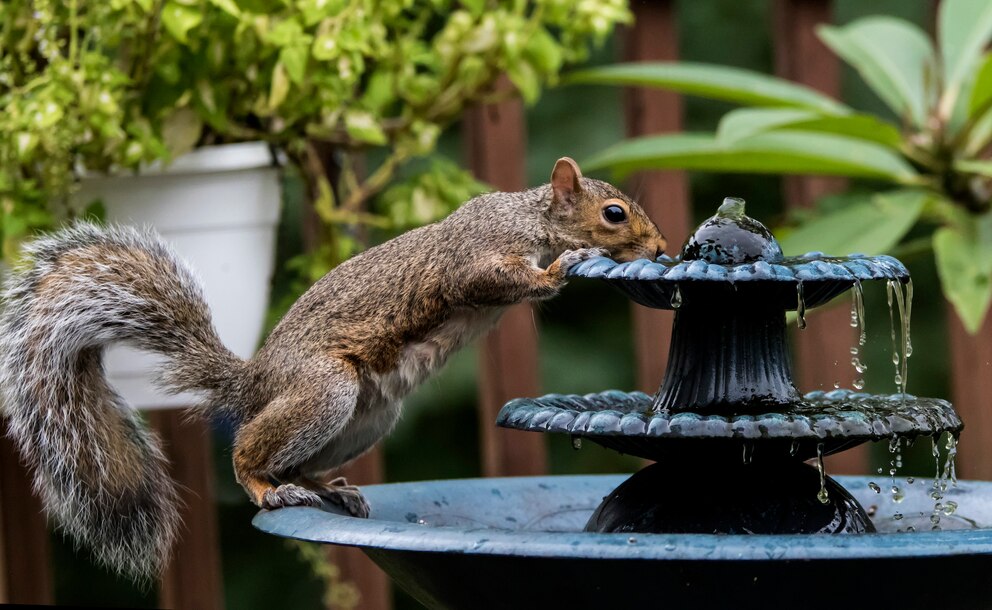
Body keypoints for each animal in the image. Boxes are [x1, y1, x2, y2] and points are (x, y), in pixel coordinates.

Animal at [0, 156, 672, 576]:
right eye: (614, 213)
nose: (662, 249)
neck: (531, 217)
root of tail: (252, 384)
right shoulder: (476, 257)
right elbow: (499, 276)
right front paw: (565, 266)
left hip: (369, 417)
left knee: (299, 463)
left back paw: (329, 489)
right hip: (325, 390)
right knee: (247, 453)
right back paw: (266, 486)